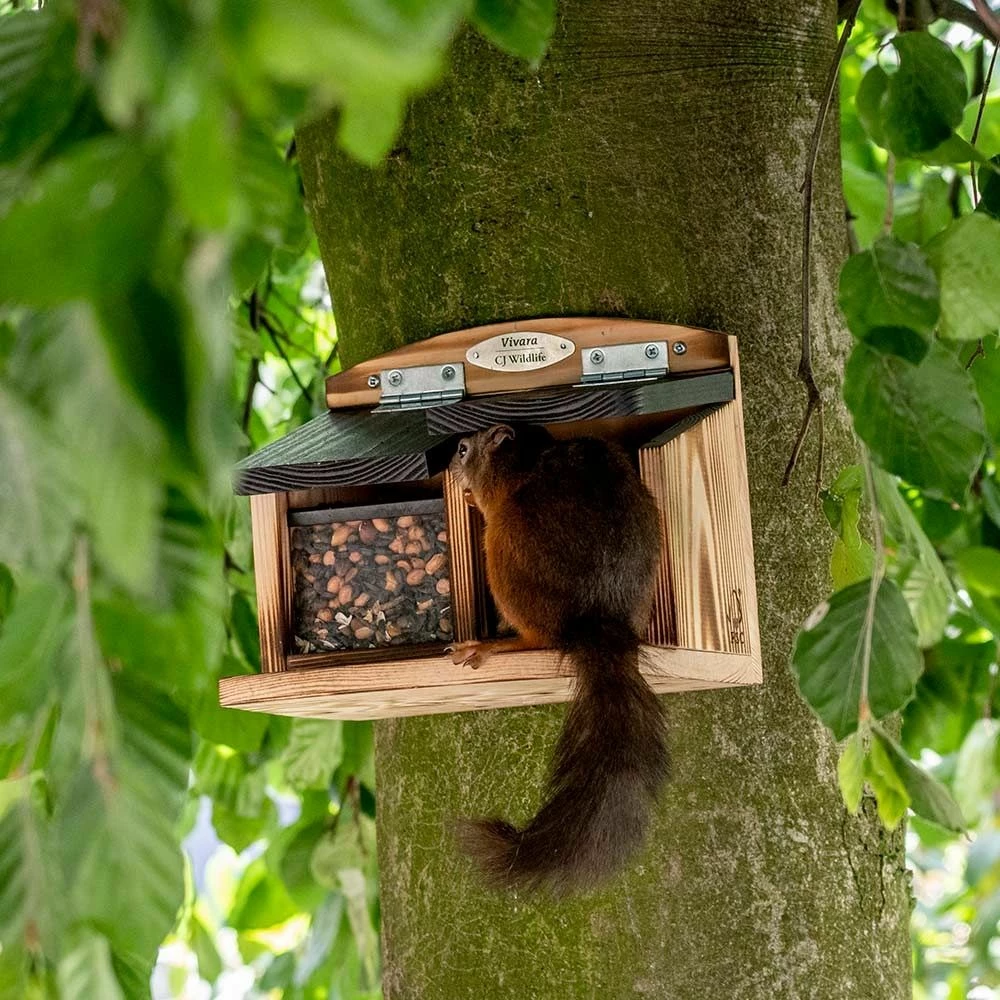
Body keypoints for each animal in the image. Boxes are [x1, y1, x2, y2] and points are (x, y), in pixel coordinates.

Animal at [447, 423, 667, 896]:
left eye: (464, 448)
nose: (448, 462)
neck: (524, 458)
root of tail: (594, 624)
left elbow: (486, 499)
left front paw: (471, 495)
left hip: (506, 552)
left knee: (538, 638)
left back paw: (493, 645)